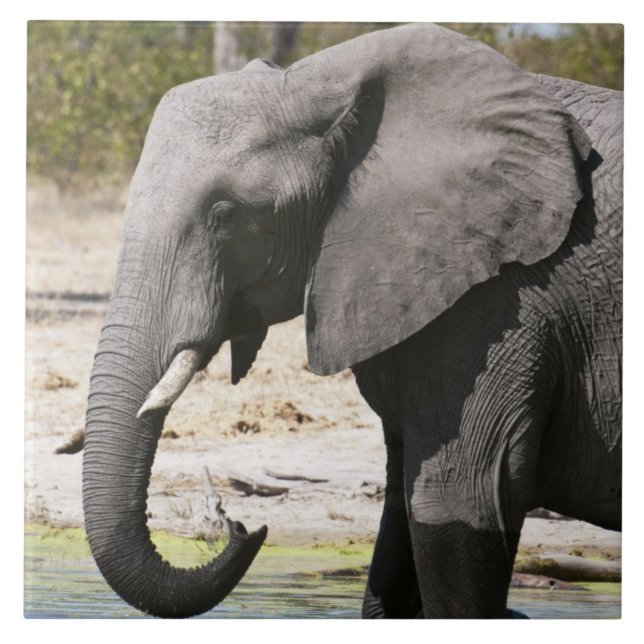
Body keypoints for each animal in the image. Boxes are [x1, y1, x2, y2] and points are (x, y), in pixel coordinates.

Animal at [82, 23, 622, 618]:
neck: (322, 83)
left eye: (226, 217)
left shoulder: (505, 301)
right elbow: (401, 515)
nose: (243, 527)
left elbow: (458, 499)